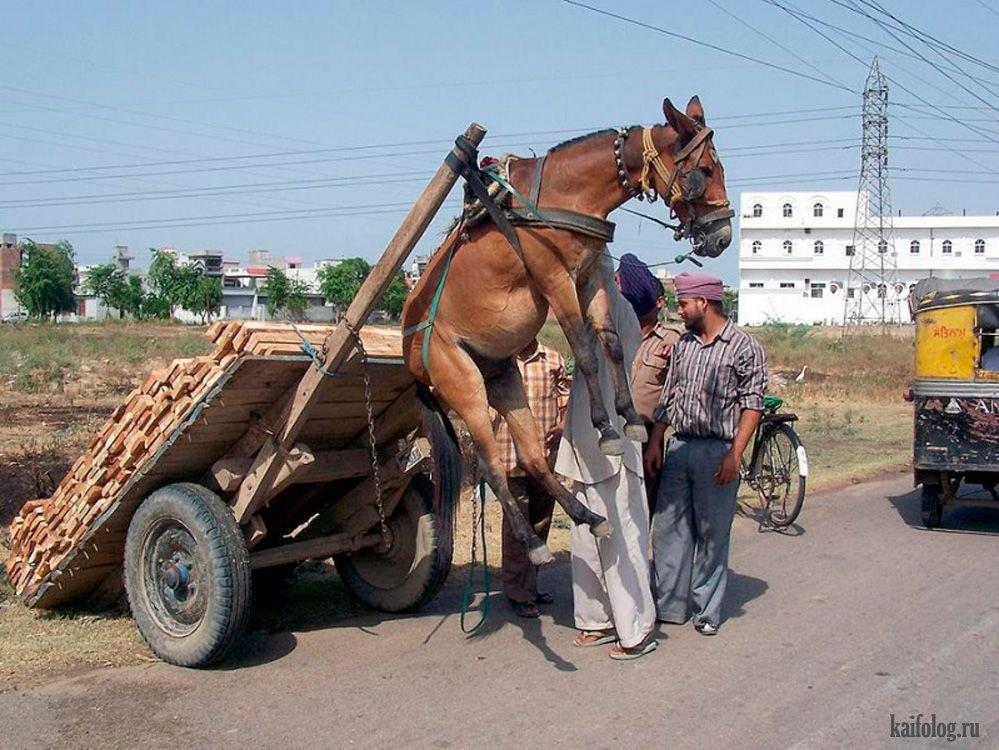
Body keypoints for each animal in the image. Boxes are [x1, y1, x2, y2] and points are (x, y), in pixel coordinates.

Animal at [400, 97, 736, 568]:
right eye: (703, 170)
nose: (722, 236)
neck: (565, 194)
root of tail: (411, 356)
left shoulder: (590, 274)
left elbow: (611, 343)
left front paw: (631, 419)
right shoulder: (554, 278)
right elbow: (585, 349)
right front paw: (607, 430)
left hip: (502, 379)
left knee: (532, 457)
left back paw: (589, 517)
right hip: (463, 386)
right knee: (489, 466)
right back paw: (533, 541)